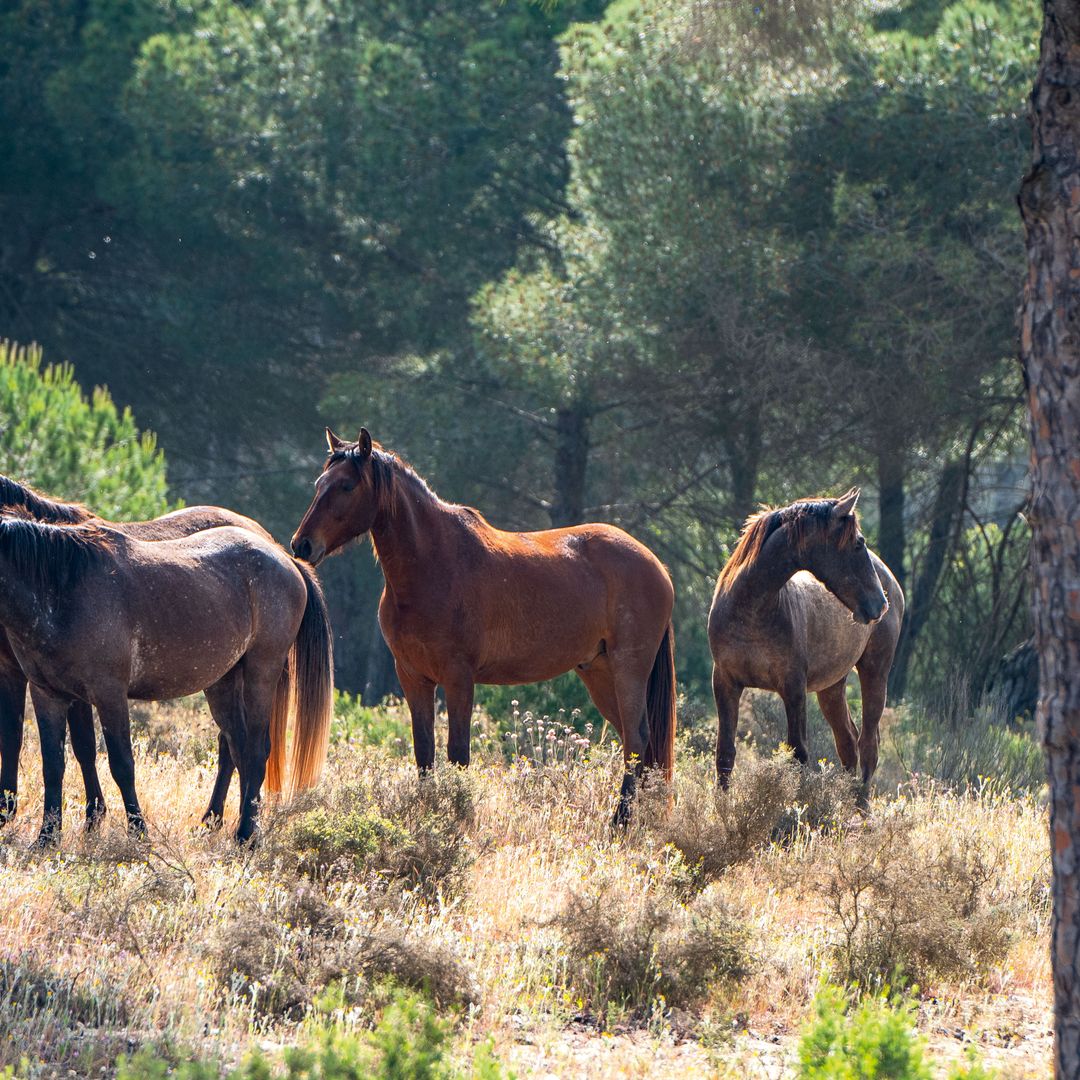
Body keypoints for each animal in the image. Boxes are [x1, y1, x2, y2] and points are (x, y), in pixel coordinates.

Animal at [0, 512, 334, 843]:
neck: (62, 589)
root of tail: (286, 560)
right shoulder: (48, 694)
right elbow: (53, 764)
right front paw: (47, 837)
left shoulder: (108, 694)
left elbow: (121, 764)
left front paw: (138, 833)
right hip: (223, 682)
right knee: (237, 747)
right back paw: (233, 825)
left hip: (261, 674)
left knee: (255, 750)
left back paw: (246, 835)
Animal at [290, 428, 676, 823]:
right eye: (320, 483)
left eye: (347, 485)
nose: (302, 545)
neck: (434, 565)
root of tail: (655, 564)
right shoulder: (413, 676)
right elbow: (424, 753)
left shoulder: (459, 678)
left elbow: (458, 754)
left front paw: (459, 817)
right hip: (598, 672)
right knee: (637, 744)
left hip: (628, 668)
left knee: (637, 739)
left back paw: (620, 822)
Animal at [708, 489, 904, 802]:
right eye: (858, 543)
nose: (879, 604)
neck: (750, 609)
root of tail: (891, 581)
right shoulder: (725, 683)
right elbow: (725, 753)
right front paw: (723, 809)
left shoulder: (793, 688)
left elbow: (798, 754)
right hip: (831, 687)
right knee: (848, 743)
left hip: (875, 673)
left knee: (868, 746)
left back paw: (861, 808)